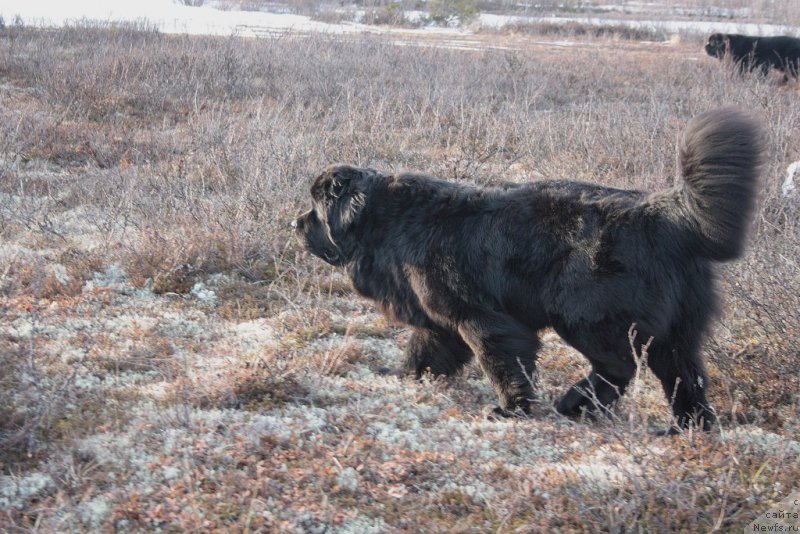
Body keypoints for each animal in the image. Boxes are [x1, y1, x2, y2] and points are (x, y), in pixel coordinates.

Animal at [292, 110, 764, 436]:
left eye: (316, 209)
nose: (295, 223)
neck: (390, 222)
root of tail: (664, 215)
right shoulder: (442, 321)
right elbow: (426, 349)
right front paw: (406, 377)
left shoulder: (483, 319)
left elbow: (503, 362)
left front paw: (511, 408)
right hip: (678, 329)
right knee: (686, 375)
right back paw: (687, 428)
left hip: (588, 317)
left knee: (619, 366)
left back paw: (575, 404)